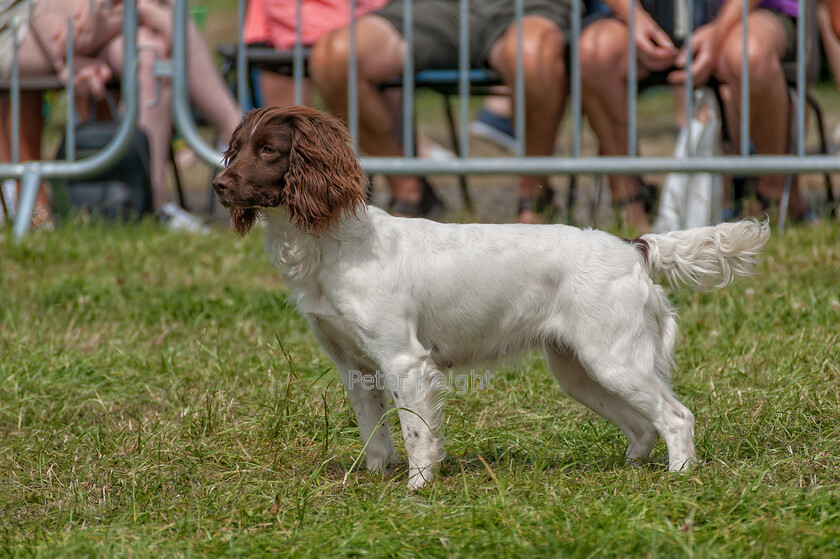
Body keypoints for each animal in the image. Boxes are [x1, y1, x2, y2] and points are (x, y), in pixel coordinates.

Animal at [213, 105, 772, 490]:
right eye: (235, 147)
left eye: (269, 150)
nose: (218, 184)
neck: (334, 245)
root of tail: (632, 247)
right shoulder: (354, 366)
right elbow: (375, 435)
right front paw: (373, 482)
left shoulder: (404, 361)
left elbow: (416, 435)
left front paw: (417, 489)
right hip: (581, 371)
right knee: (641, 428)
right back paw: (626, 472)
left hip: (615, 361)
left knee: (676, 417)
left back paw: (679, 478)